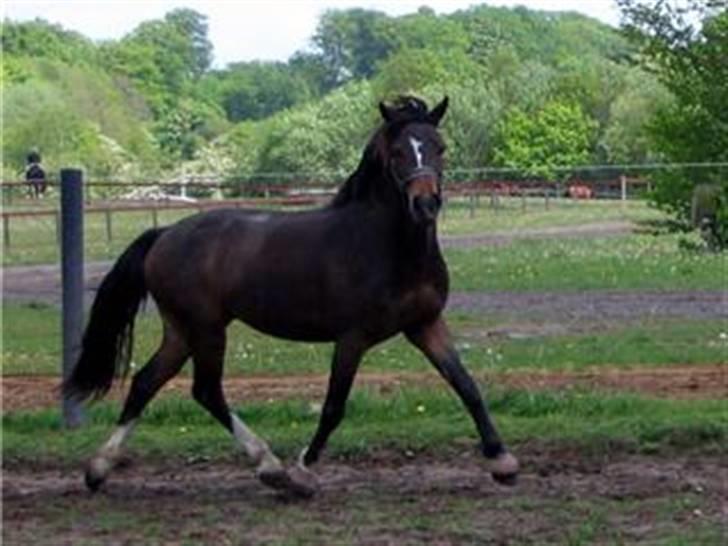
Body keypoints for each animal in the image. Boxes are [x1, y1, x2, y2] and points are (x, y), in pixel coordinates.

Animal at [62, 95, 516, 496]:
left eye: (439, 147)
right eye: (399, 151)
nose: (425, 204)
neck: (391, 248)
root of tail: (164, 234)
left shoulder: (425, 325)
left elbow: (467, 386)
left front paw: (502, 462)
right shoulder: (352, 338)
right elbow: (334, 406)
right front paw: (303, 471)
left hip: (182, 331)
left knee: (146, 382)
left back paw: (98, 470)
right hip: (206, 329)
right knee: (206, 391)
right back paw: (271, 467)